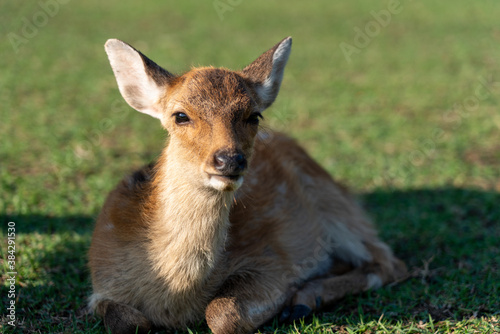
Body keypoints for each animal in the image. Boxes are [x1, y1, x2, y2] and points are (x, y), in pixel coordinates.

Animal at [88, 36, 408, 334]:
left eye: (254, 115)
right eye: (180, 116)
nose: (229, 160)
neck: (174, 298)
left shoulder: (273, 259)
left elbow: (222, 312)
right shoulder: (101, 282)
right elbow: (126, 321)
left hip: (336, 206)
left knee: (389, 262)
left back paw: (303, 300)